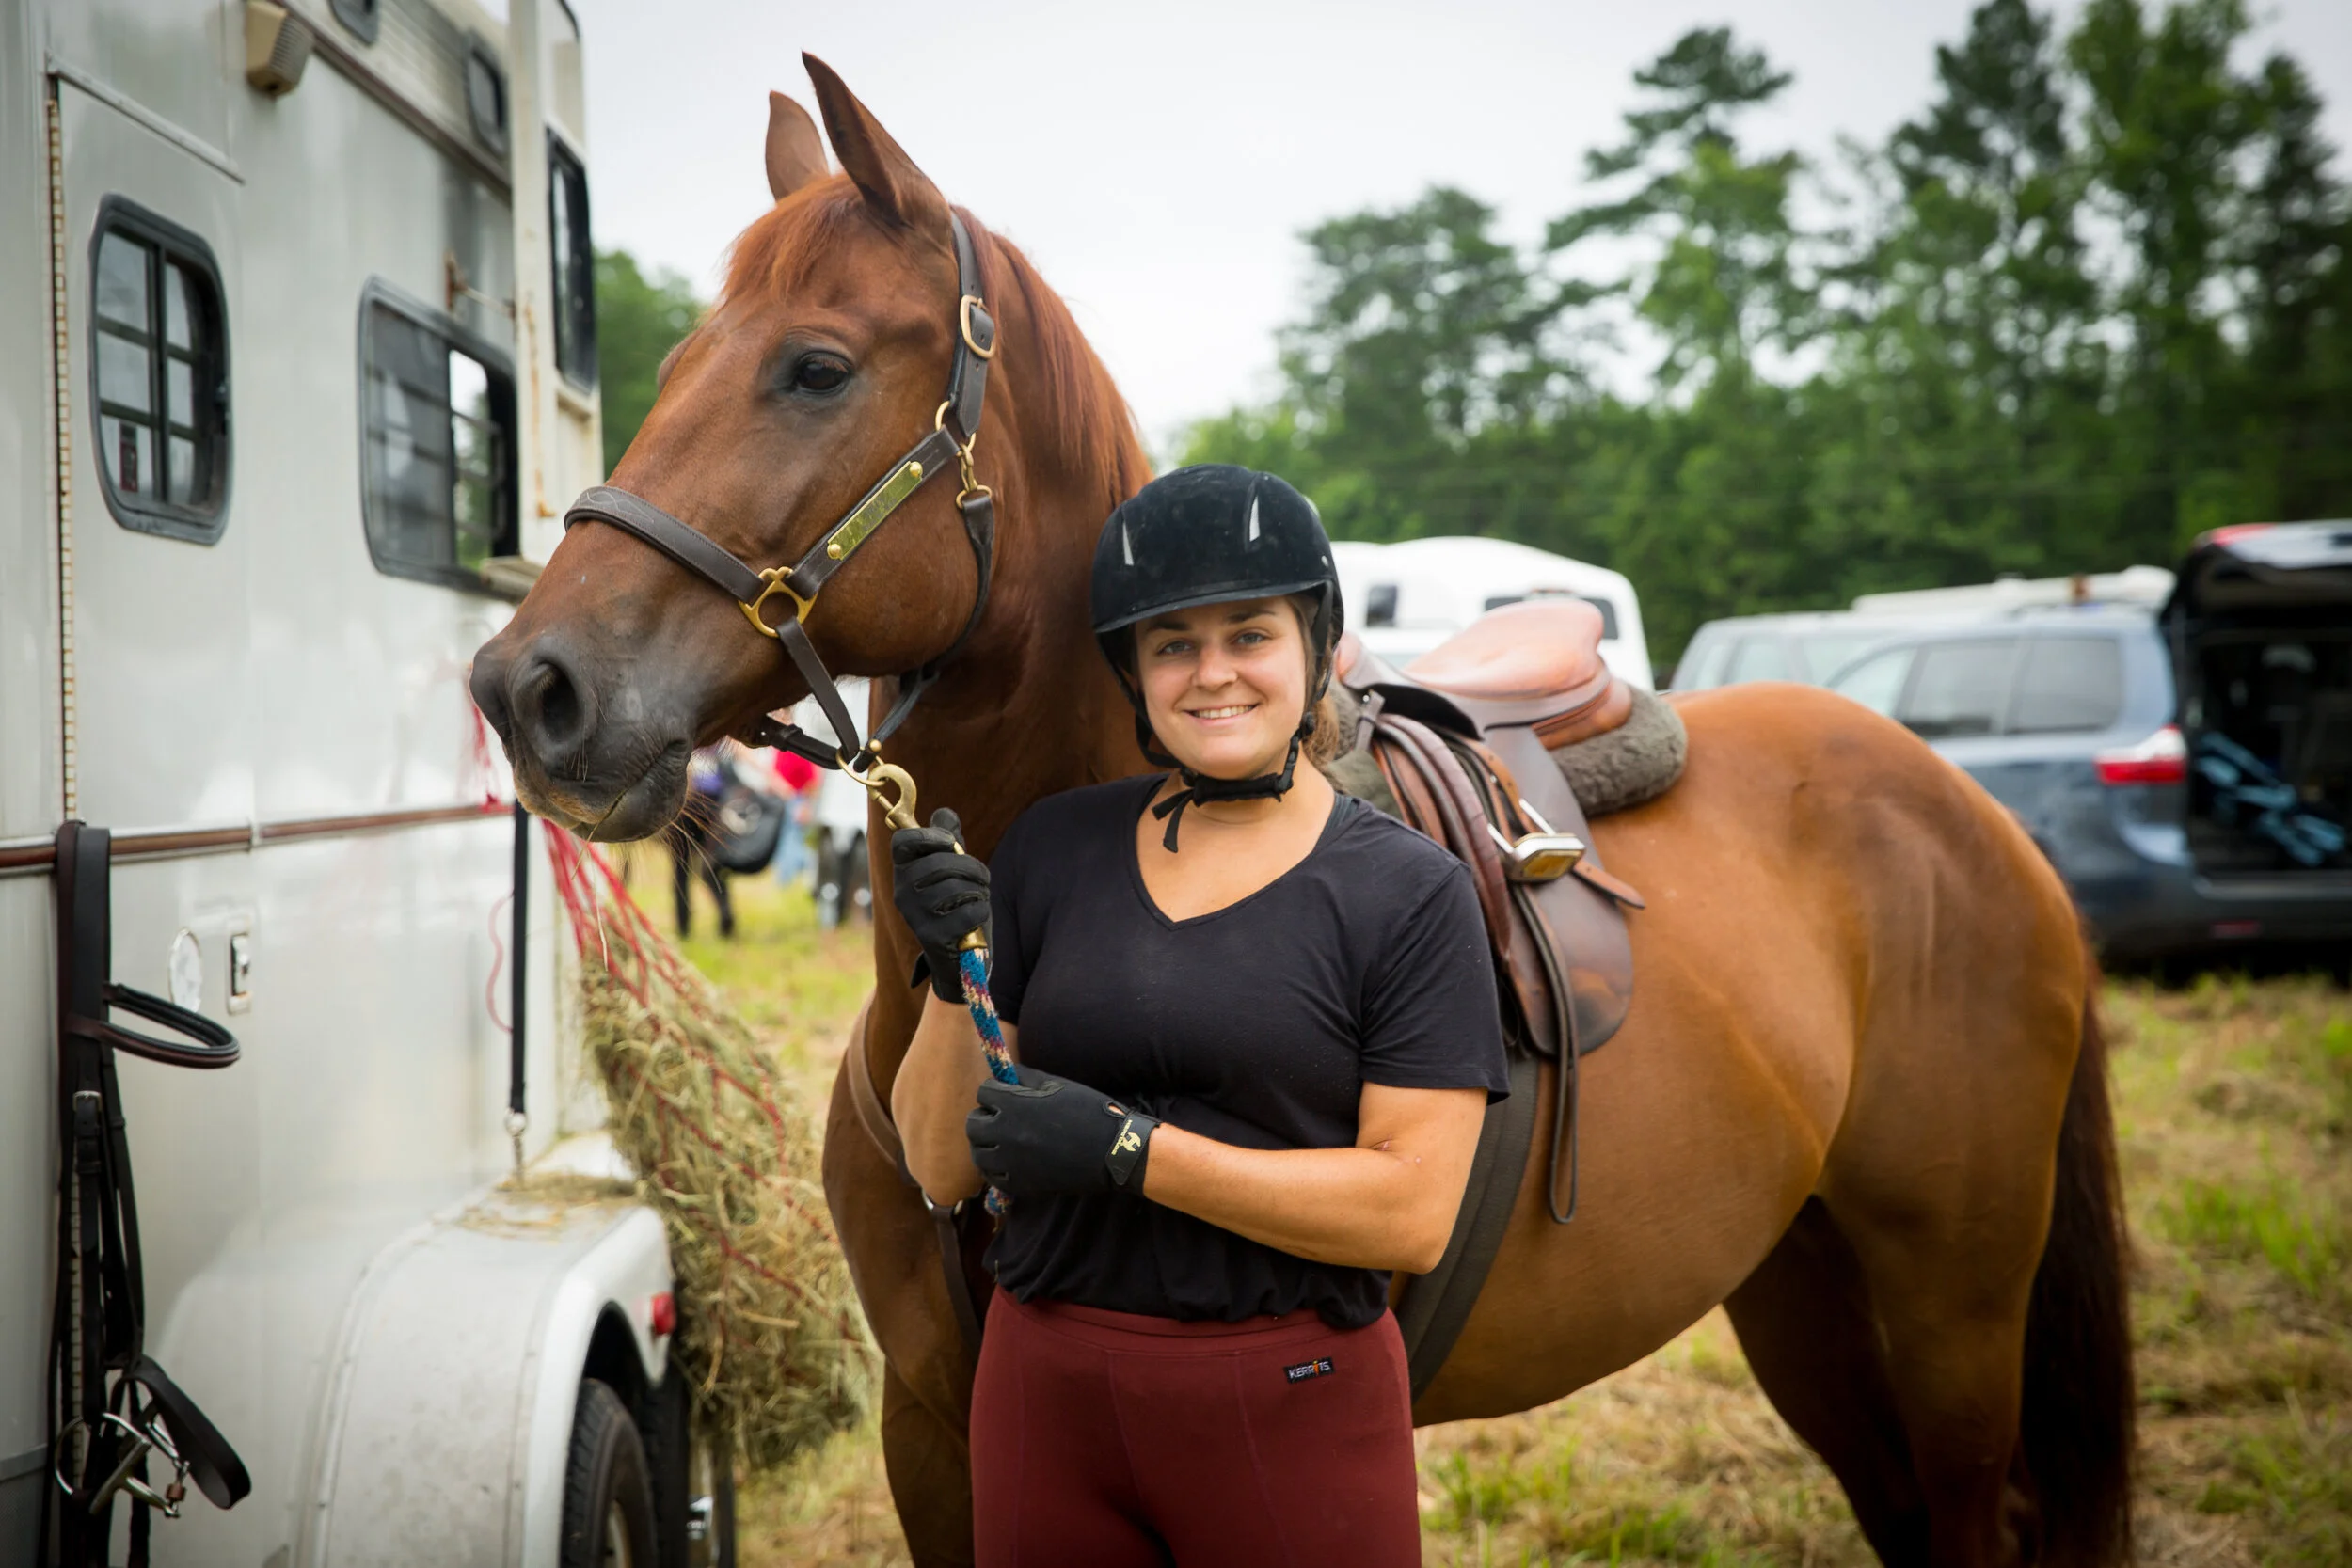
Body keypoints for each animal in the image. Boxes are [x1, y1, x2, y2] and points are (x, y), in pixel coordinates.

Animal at [468, 59, 2133, 1568]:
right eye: (673, 365)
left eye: (813, 367)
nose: (527, 684)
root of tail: (1969, 812)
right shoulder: (938, 1431)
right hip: (1805, 1286)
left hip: (1952, 1304)